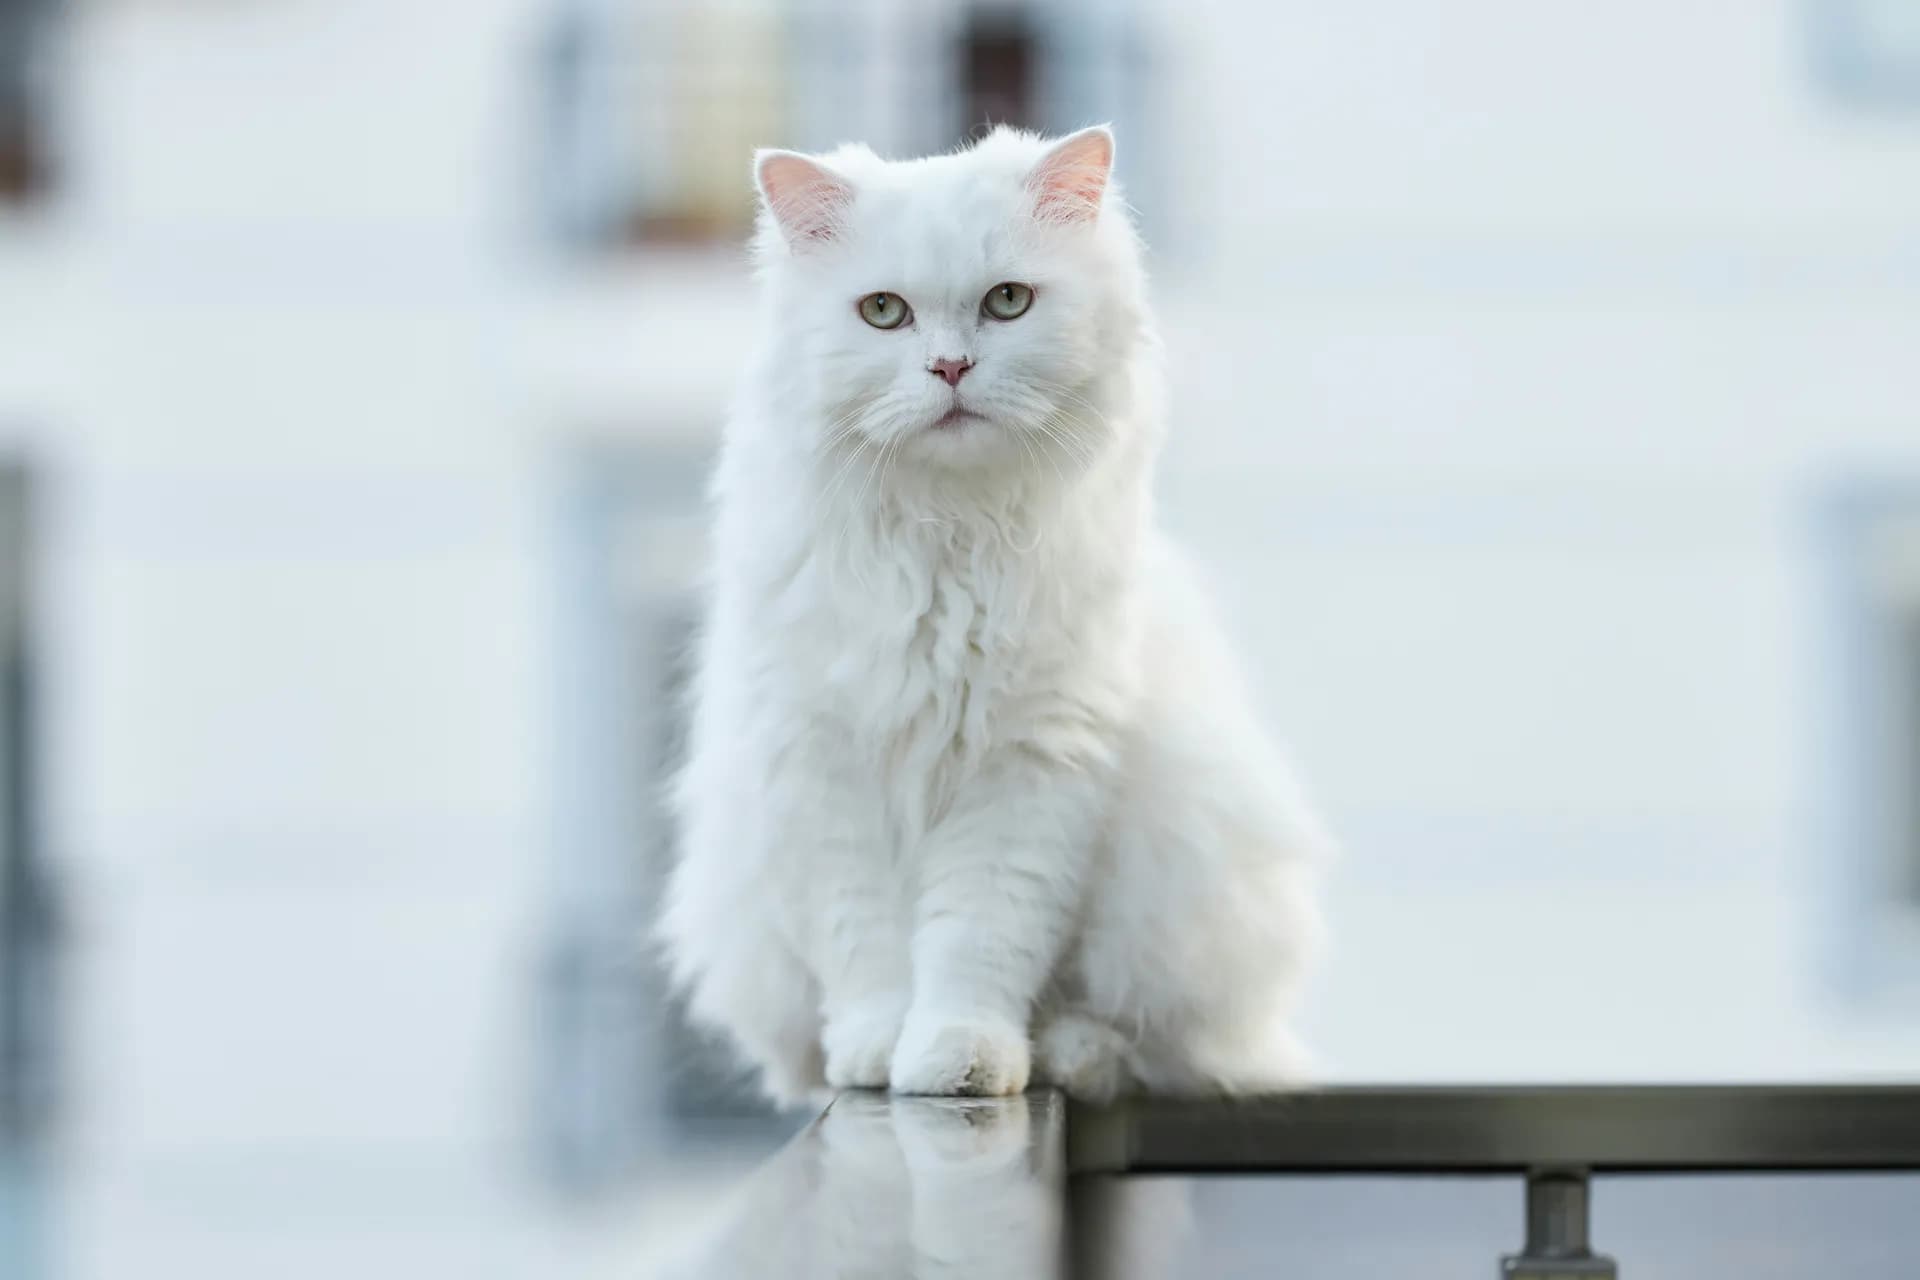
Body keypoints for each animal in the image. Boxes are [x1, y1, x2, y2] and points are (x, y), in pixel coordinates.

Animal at [660, 124, 1336, 1105]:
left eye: (1007, 302)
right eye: (884, 313)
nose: (951, 368)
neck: (947, 538)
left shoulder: (1031, 767)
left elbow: (976, 942)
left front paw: (961, 1062)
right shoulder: (822, 767)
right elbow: (866, 950)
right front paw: (876, 1055)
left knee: (1140, 1039)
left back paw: (1066, 1053)